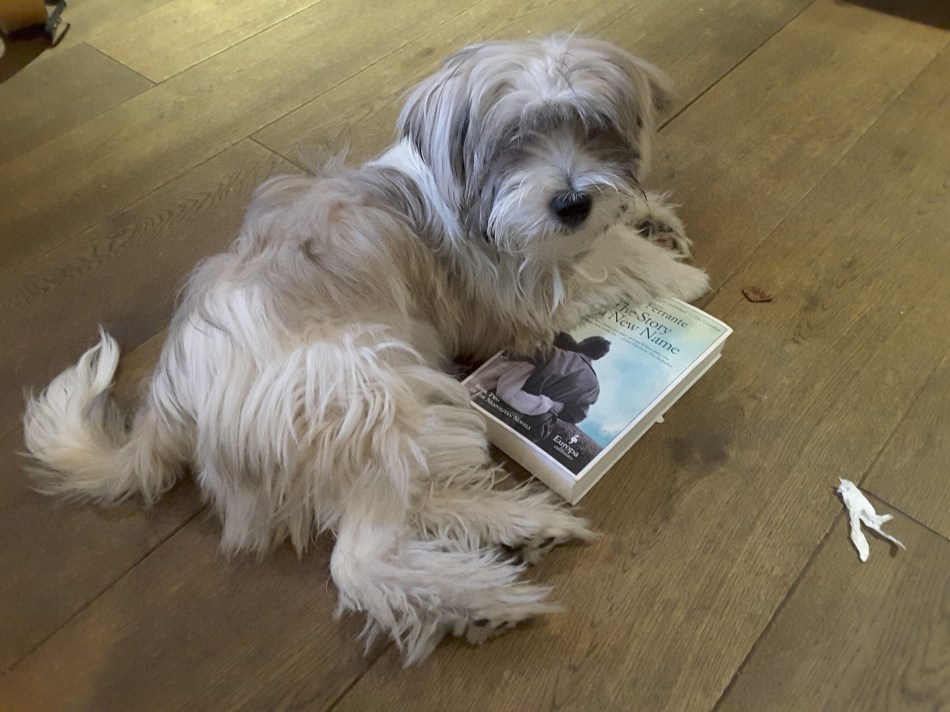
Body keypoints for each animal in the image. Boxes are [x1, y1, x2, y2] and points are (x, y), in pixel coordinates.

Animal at [23, 35, 710, 663]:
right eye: (514, 142)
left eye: (594, 129)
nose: (572, 202)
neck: (474, 197)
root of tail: (171, 403)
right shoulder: (522, 300)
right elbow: (608, 260)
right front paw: (678, 278)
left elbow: (611, 232)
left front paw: (650, 216)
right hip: (376, 389)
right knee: (360, 557)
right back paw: (484, 592)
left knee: (410, 507)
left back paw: (513, 534)